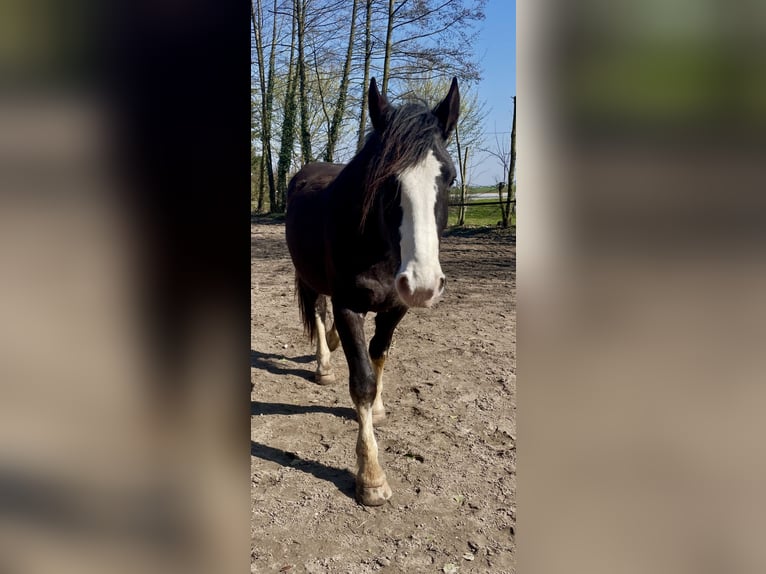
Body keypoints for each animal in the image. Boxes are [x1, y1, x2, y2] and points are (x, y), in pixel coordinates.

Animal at [285, 77, 459, 506]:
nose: (423, 283)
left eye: (448, 177)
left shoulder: (395, 307)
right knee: (319, 312)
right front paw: (371, 477)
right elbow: (361, 380)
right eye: (385, 181)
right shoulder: (350, 307)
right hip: (308, 277)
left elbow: (379, 355)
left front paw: (379, 408)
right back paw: (324, 364)